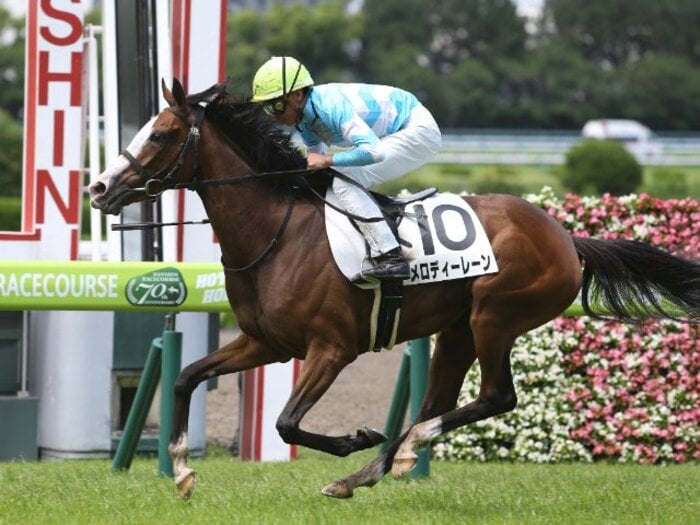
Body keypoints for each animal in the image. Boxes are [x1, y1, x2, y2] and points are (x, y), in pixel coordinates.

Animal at [88, 79, 700, 500]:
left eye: (160, 133)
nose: (98, 188)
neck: (277, 232)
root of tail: (566, 237)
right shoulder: (266, 343)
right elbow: (187, 378)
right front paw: (182, 469)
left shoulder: (331, 348)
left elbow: (287, 422)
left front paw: (356, 438)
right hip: (458, 329)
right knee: (443, 398)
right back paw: (372, 469)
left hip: (494, 318)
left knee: (496, 397)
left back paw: (399, 448)